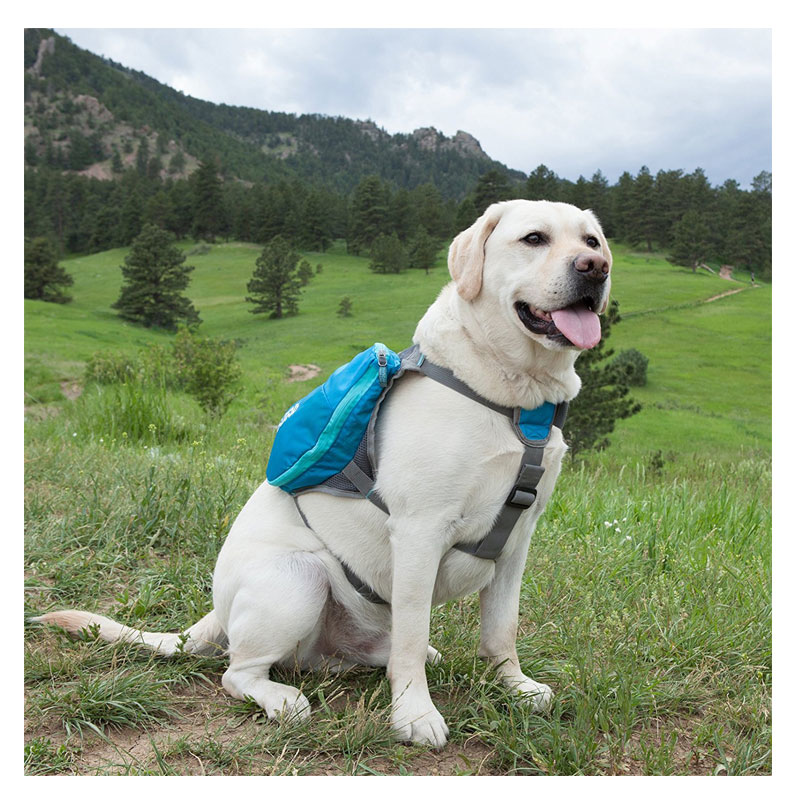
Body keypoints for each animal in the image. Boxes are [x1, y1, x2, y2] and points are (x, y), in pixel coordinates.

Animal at [34, 200, 612, 752]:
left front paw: (514, 688)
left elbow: (501, 630)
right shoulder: (420, 531)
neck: (518, 398)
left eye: (592, 242)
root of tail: (214, 613)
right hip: (298, 577)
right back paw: (282, 700)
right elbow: (412, 637)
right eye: (533, 238)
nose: (596, 268)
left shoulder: (517, 539)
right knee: (238, 673)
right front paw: (414, 715)